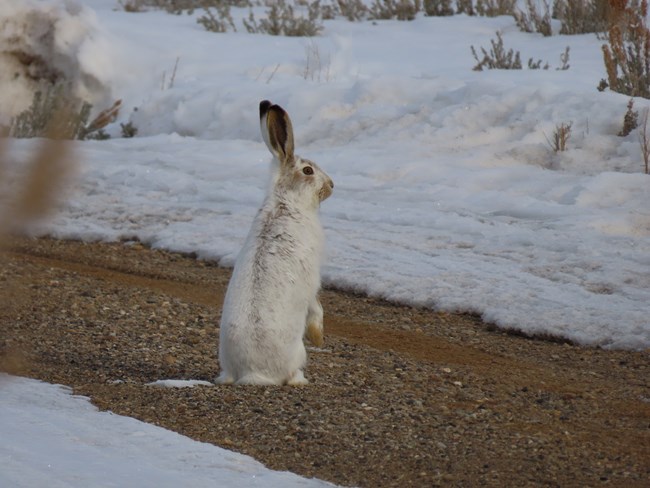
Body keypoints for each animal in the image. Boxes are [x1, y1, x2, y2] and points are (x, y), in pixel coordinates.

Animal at [216, 100, 334, 386]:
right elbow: (316, 308)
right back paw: (302, 380)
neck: (286, 201)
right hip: (297, 353)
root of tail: (254, 373)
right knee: (291, 376)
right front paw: (319, 337)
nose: (332, 185)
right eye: (308, 170)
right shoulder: (312, 280)